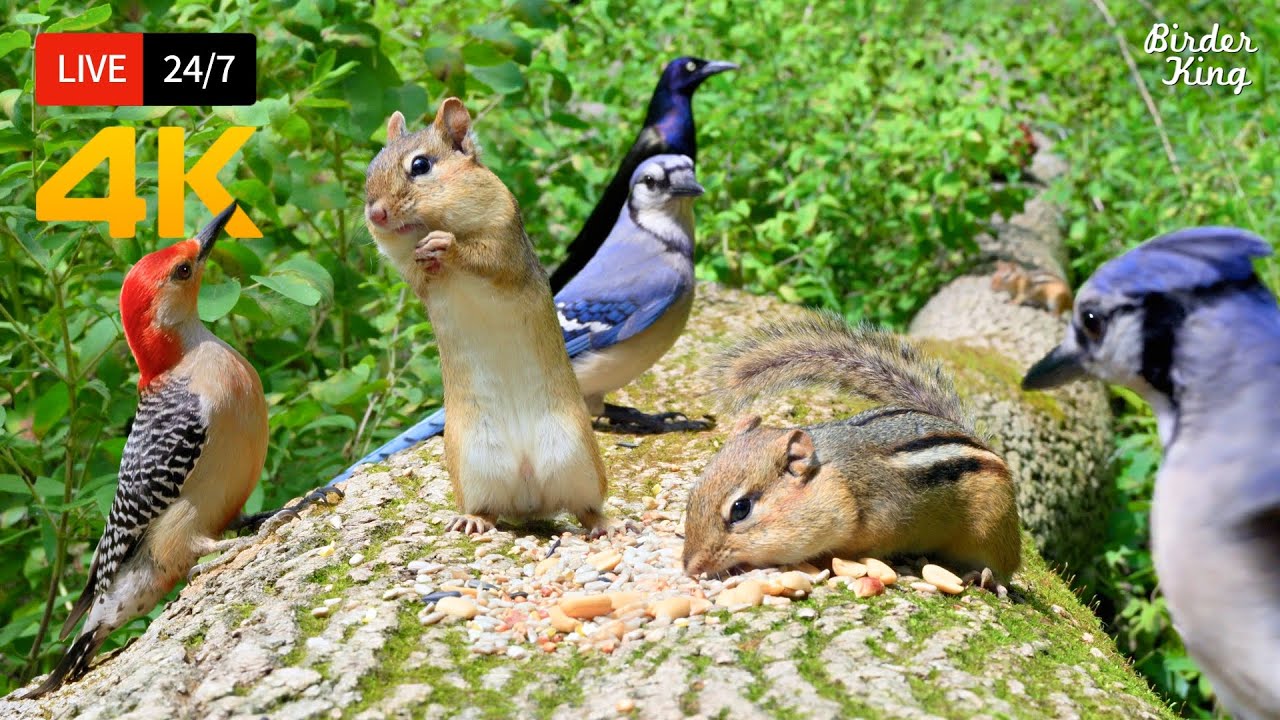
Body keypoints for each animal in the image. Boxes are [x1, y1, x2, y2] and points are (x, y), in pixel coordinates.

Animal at [363, 97, 614, 536]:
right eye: (369, 169)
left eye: (420, 165)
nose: (375, 213)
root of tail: (531, 496)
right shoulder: (411, 275)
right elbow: (420, 276)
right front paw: (428, 257)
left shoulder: (503, 240)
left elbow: (486, 259)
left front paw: (445, 246)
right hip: (472, 465)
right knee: (488, 507)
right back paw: (472, 520)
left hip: (580, 456)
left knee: (585, 506)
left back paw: (603, 524)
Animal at [682, 310, 1022, 580]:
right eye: (691, 494)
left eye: (741, 509)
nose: (690, 567)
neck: (839, 480)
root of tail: (969, 434)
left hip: (992, 529)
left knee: (1004, 565)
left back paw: (989, 577)